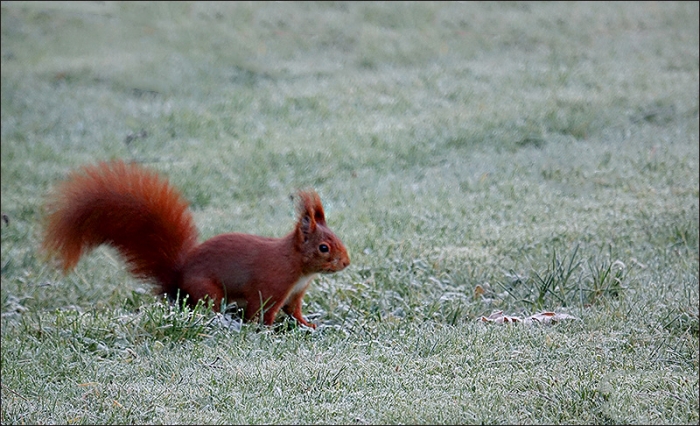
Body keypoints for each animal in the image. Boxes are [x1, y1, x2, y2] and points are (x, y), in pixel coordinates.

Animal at [41, 160, 350, 328]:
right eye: (324, 247)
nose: (347, 262)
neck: (297, 267)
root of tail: (177, 281)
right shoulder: (271, 285)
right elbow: (260, 312)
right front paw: (266, 331)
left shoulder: (294, 294)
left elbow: (294, 311)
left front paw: (308, 324)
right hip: (208, 290)